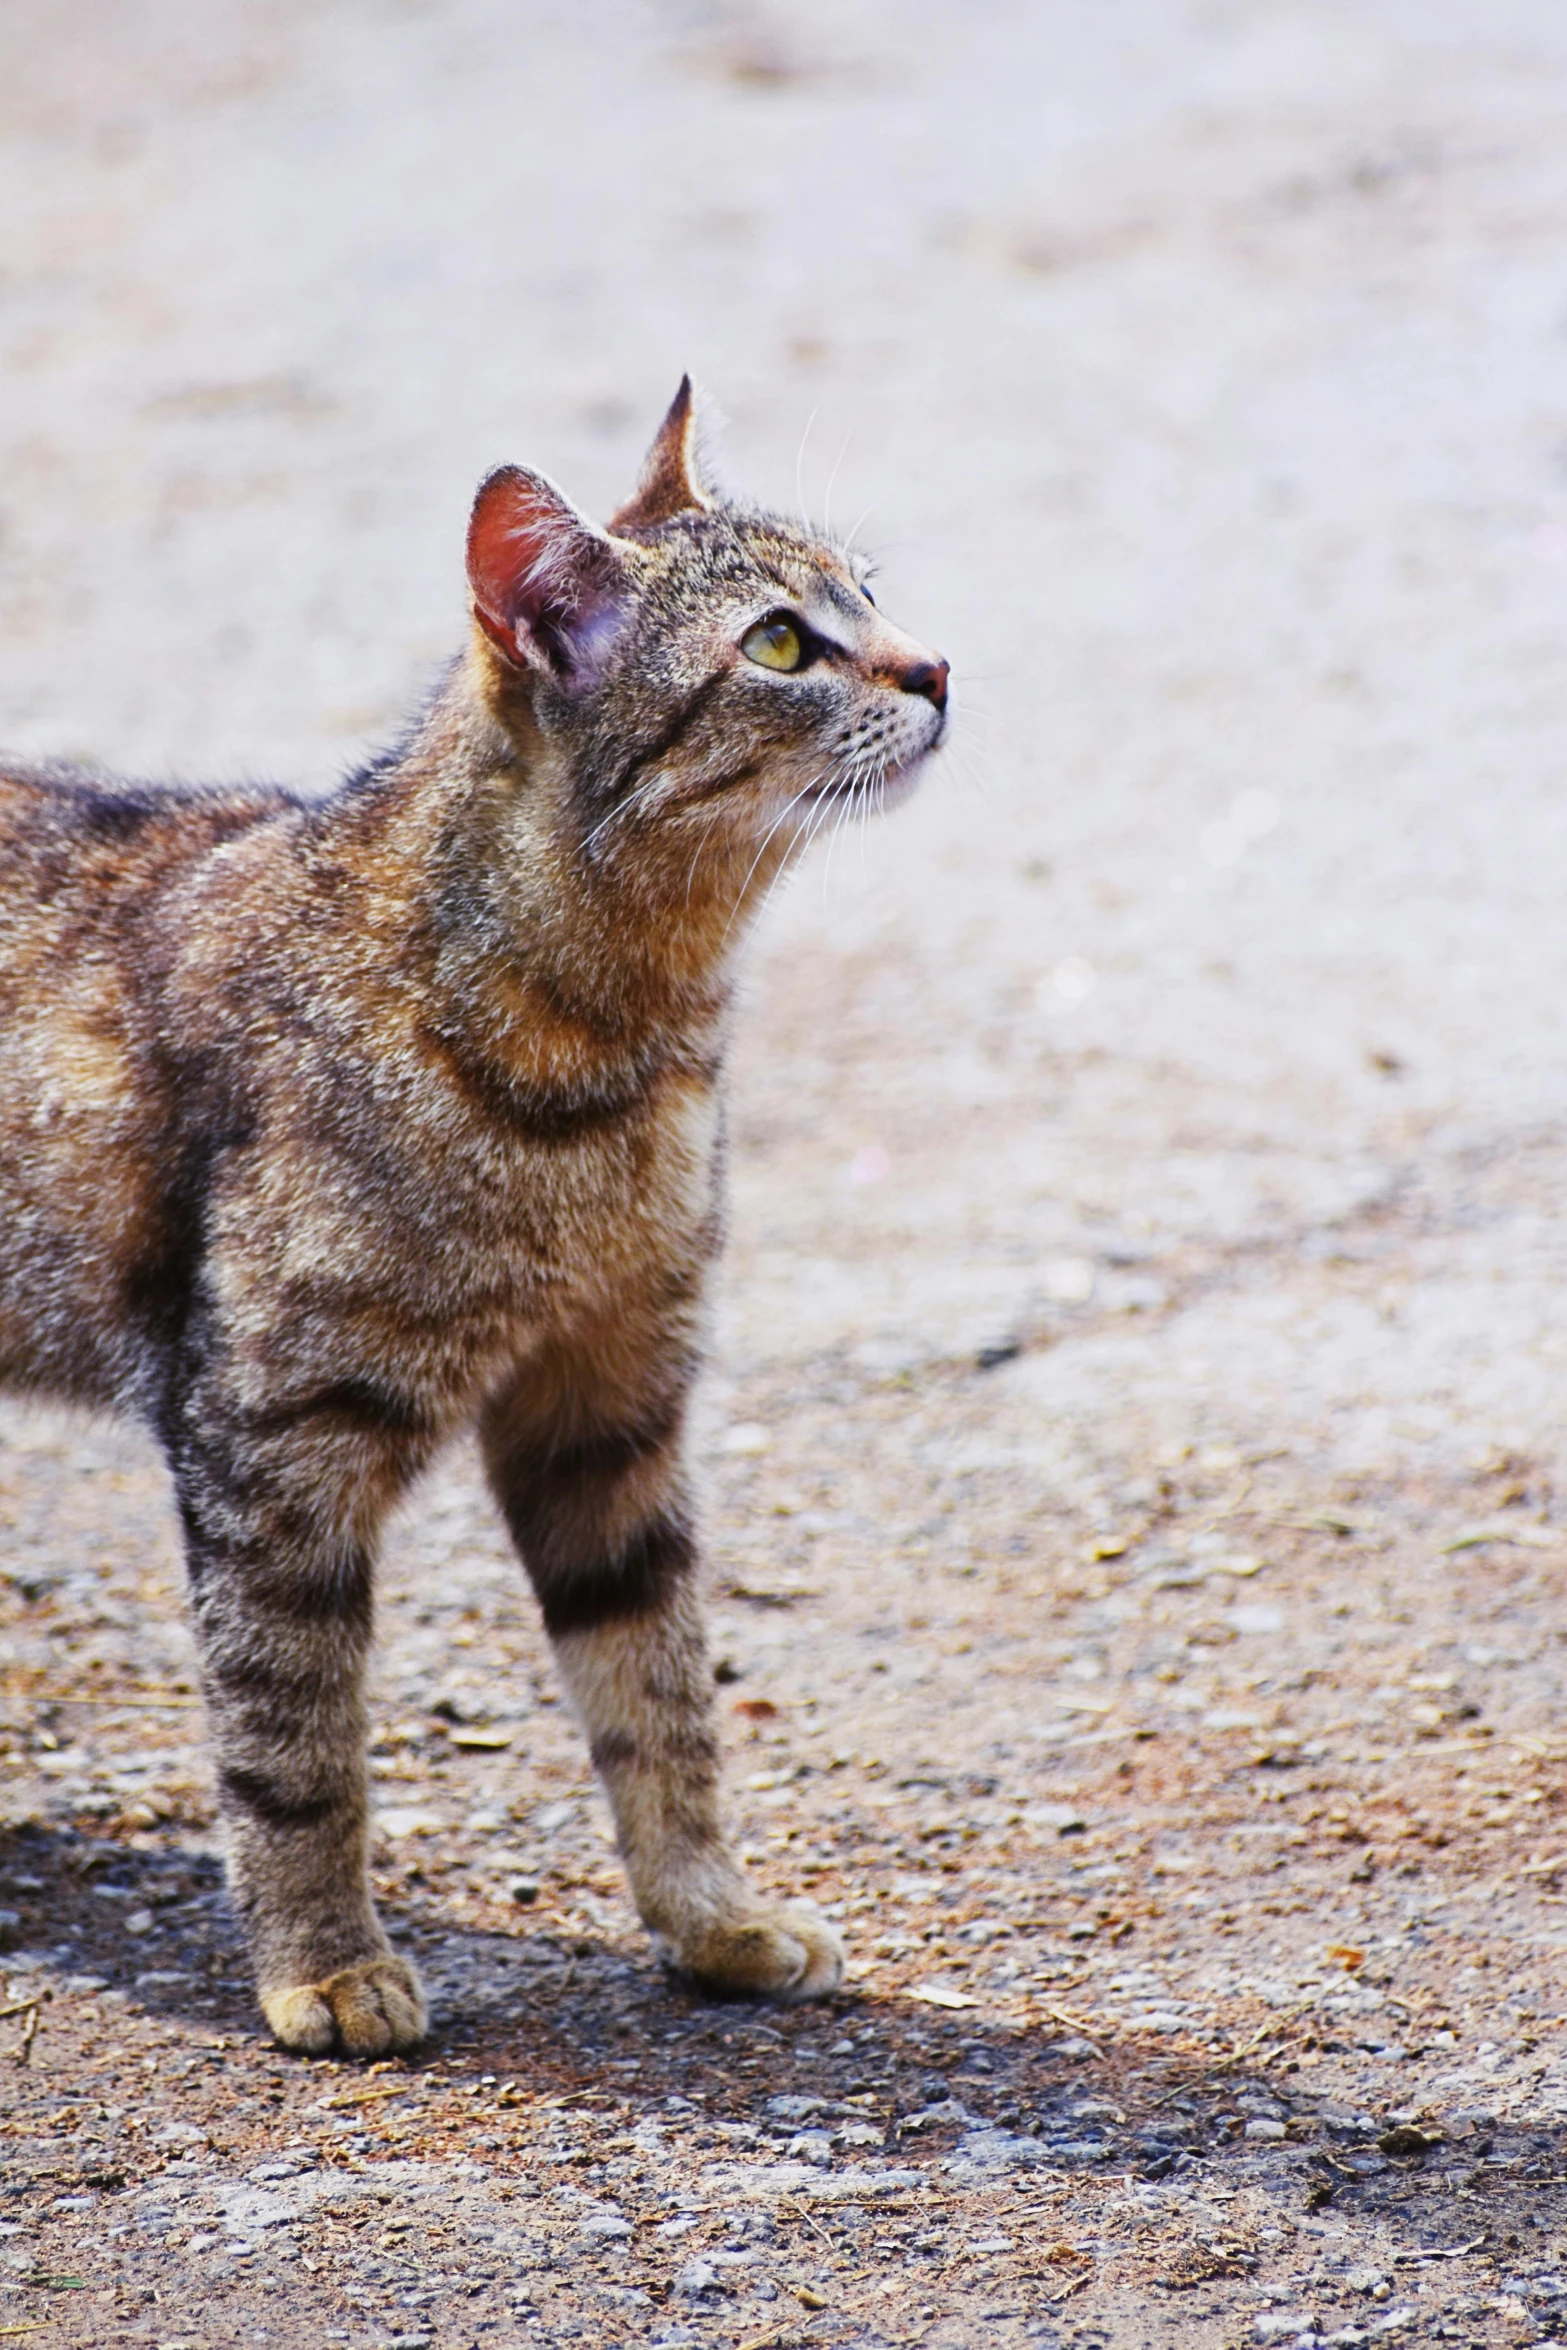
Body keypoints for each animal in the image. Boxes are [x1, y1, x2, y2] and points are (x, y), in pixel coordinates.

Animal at [0, 385, 949, 2058]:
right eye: (781, 643)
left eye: (869, 591)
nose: (939, 667)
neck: (610, 1045)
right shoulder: (273, 1442)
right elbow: (292, 1737)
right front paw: (323, 1959)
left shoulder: (609, 1403)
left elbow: (660, 1691)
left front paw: (710, 1915)